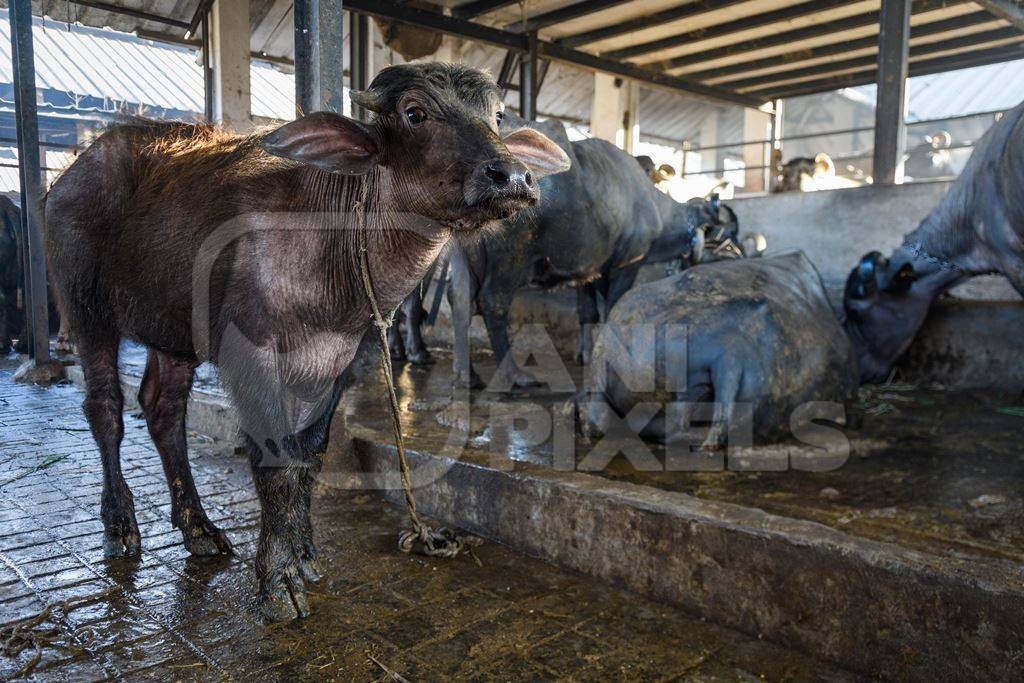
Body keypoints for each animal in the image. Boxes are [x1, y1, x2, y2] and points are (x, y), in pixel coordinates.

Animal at [41, 61, 569, 622]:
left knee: (164, 412)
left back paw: (199, 528)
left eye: (496, 115)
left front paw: (304, 553)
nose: (512, 175)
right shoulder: (250, 354)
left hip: (171, 329)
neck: (331, 250)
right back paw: (121, 526)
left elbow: (308, 456)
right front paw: (278, 580)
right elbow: (275, 459)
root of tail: (65, 177)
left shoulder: (339, 358)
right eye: (415, 113)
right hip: (85, 308)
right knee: (106, 408)